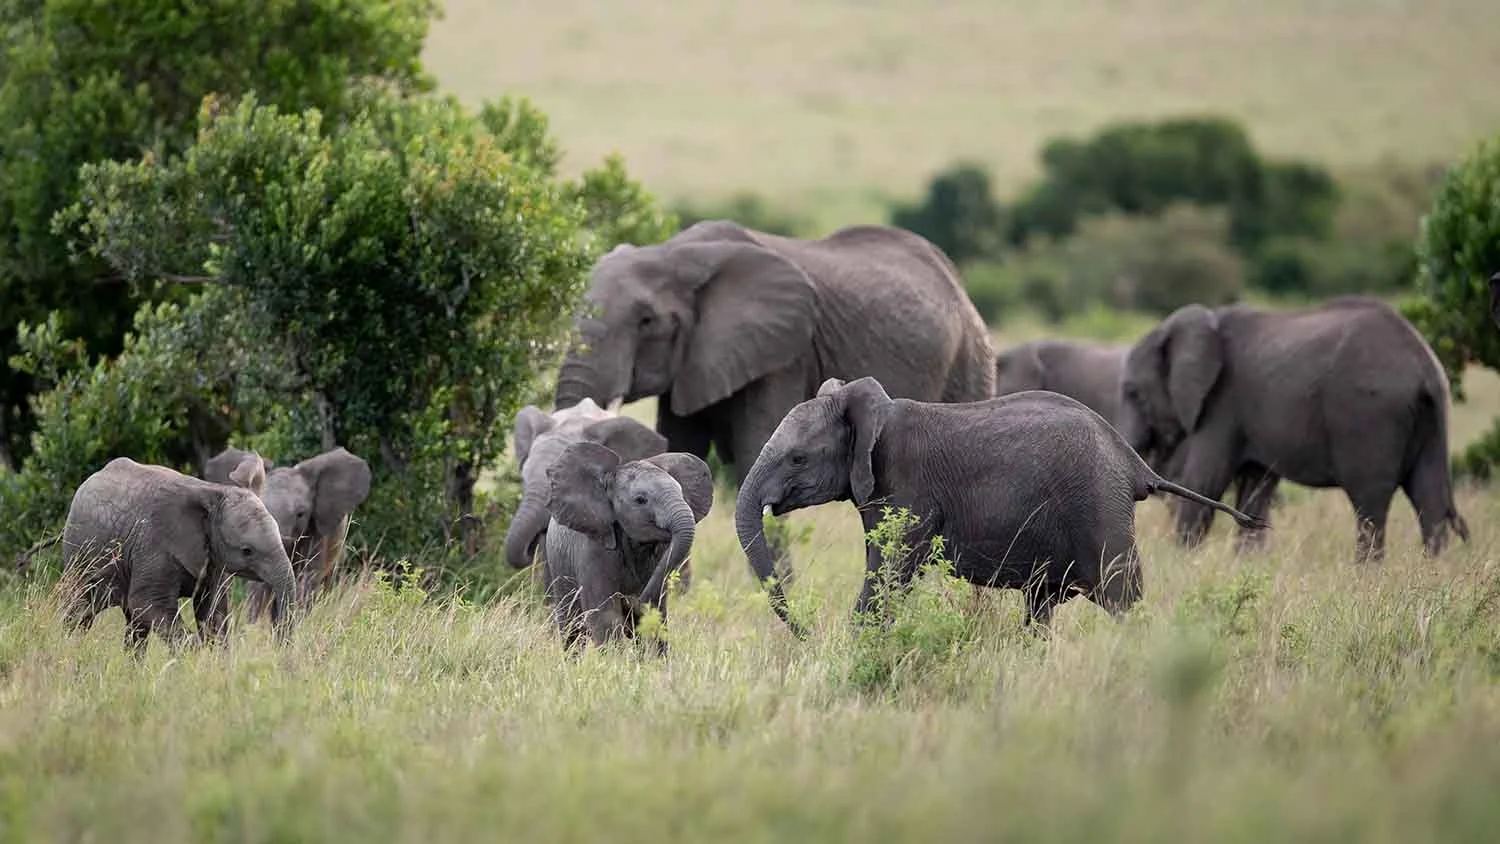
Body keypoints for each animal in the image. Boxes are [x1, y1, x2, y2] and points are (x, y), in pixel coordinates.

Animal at [58, 455, 296, 652]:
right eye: (247, 551)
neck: (213, 491)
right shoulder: (154, 545)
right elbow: (149, 603)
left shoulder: (214, 558)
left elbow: (213, 612)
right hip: (79, 554)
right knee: (81, 609)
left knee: (135, 625)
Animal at [542, 442, 714, 651]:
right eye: (640, 500)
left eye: (682, 494)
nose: (635, 599)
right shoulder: (593, 550)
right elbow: (606, 616)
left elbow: (657, 615)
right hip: (558, 568)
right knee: (572, 628)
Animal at [551, 219, 996, 590]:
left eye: (646, 322)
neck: (675, 254)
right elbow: (680, 449)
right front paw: (678, 591)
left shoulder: (782, 356)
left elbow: (754, 450)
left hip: (968, 362)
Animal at [734, 377, 1265, 635]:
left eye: (798, 457)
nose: (806, 632)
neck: (876, 412)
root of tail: (1136, 466)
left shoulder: (906, 487)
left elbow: (888, 574)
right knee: (1042, 607)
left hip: (1100, 507)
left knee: (1122, 597)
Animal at [1116, 296, 1469, 563]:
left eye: (1133, 393)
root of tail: (1424, 364)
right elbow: (1255, 488)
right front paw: (1247, 564)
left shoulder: (1222, 403)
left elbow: (1205, 480)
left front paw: (1183, 560)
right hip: (1430, 420)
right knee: (1429, 497)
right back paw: (1433, 571)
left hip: (1370, 416)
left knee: (1370, 501)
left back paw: (1367, 574)